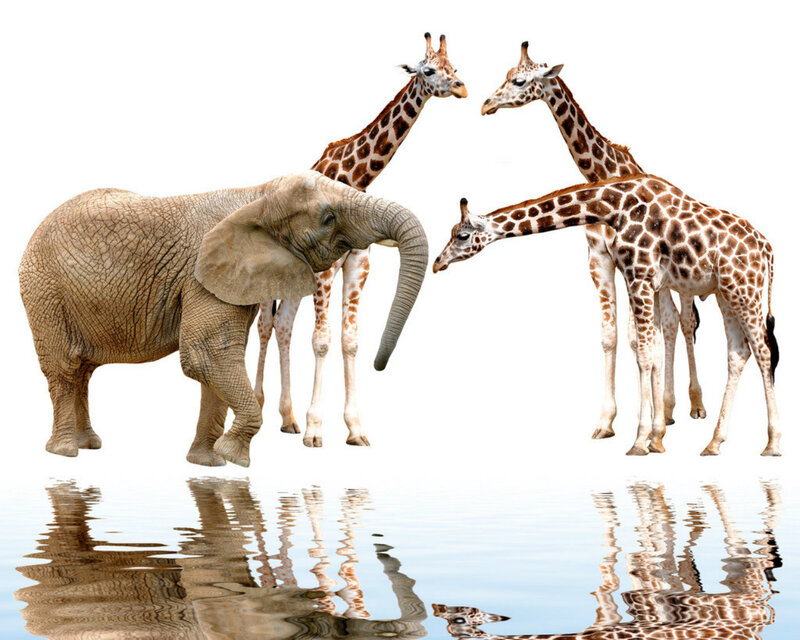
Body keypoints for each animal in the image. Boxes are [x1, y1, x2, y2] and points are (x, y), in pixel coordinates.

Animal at [19, 171, 428, 467]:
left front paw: (208, 464)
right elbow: (207, 355)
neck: (257, 196)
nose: (379, 364)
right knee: (64, 368)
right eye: (328, 218)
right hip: (44, 291)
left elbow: (217, 361)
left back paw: (90, 445)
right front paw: (234, 458)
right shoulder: (201, 276)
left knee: (84, 370)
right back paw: (65, 452)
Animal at [253, 33, 467, 447]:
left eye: (455, 68)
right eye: (428, 70)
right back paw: (256, 408)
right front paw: (316, 431)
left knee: (283, 325)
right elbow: (321, 339)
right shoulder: (323, 269)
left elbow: (348, 339)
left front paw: (355, 429)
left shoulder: (357, 262)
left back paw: (287, 419)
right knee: (265, 326)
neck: (356, 179)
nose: (462, 88)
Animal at [433, 174, 779, 456]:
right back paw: (713, 443)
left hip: (744, 291)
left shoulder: (640, 276)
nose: (438, 262)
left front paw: (640, 441)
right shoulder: (643, 279)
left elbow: (645, 354)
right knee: (738, 354)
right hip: (726, 293)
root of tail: (767, 249)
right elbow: (649, 349)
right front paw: (654, 438)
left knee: (762, 352)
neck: (615, 207)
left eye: (462, 236)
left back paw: (772, 444)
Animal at [433, 481, 782, 639]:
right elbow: (613, 577)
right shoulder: (618, 610)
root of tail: (759, 624)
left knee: (746, 552)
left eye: (459, 621)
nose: (442, 604)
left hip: (741, 580)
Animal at [480, 42, 706, 438]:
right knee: (669, 324)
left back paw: (694, 405)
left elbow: (635, 338)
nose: (486, 104)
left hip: (680, 279)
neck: (603, 176)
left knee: (684, 322)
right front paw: (607, 421)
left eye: (520, 80)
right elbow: (611, 336)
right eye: (506, 75)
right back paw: (668, 409)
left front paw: (641, 423)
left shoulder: (631, 264)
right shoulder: (599, 259)